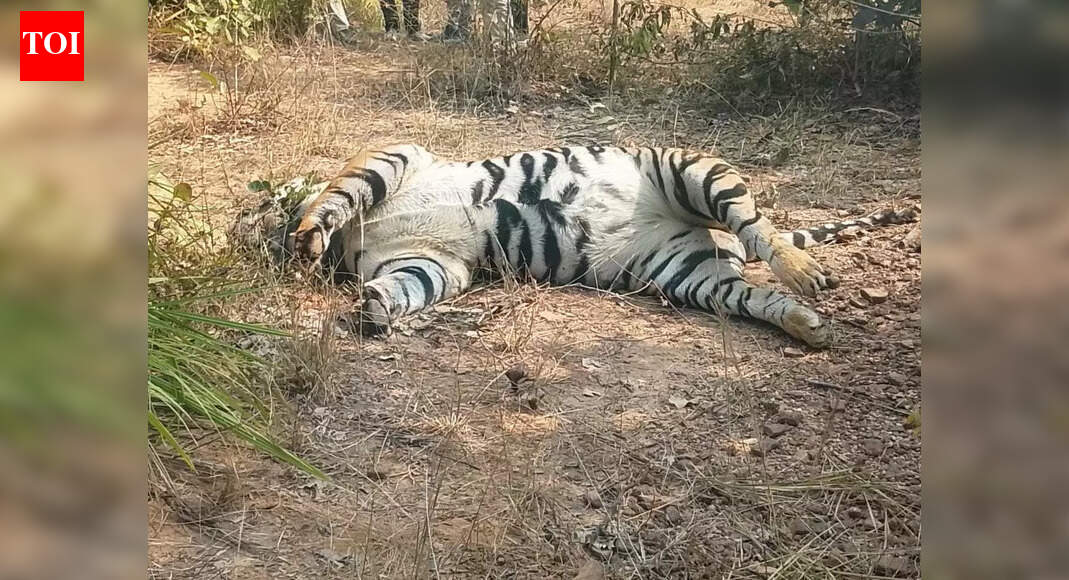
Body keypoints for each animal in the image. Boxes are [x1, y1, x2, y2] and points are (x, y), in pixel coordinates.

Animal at [234, 144, 917, 347]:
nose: (244, 220)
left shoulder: (394, 155)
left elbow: (339, 194)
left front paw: (307, 235)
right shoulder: (430, 262)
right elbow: (408, 286)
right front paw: (375, 307)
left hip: (691, 169)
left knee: (761, 227)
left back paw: (804, 273)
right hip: (690, 273)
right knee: (752, 295)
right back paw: (810, 326)